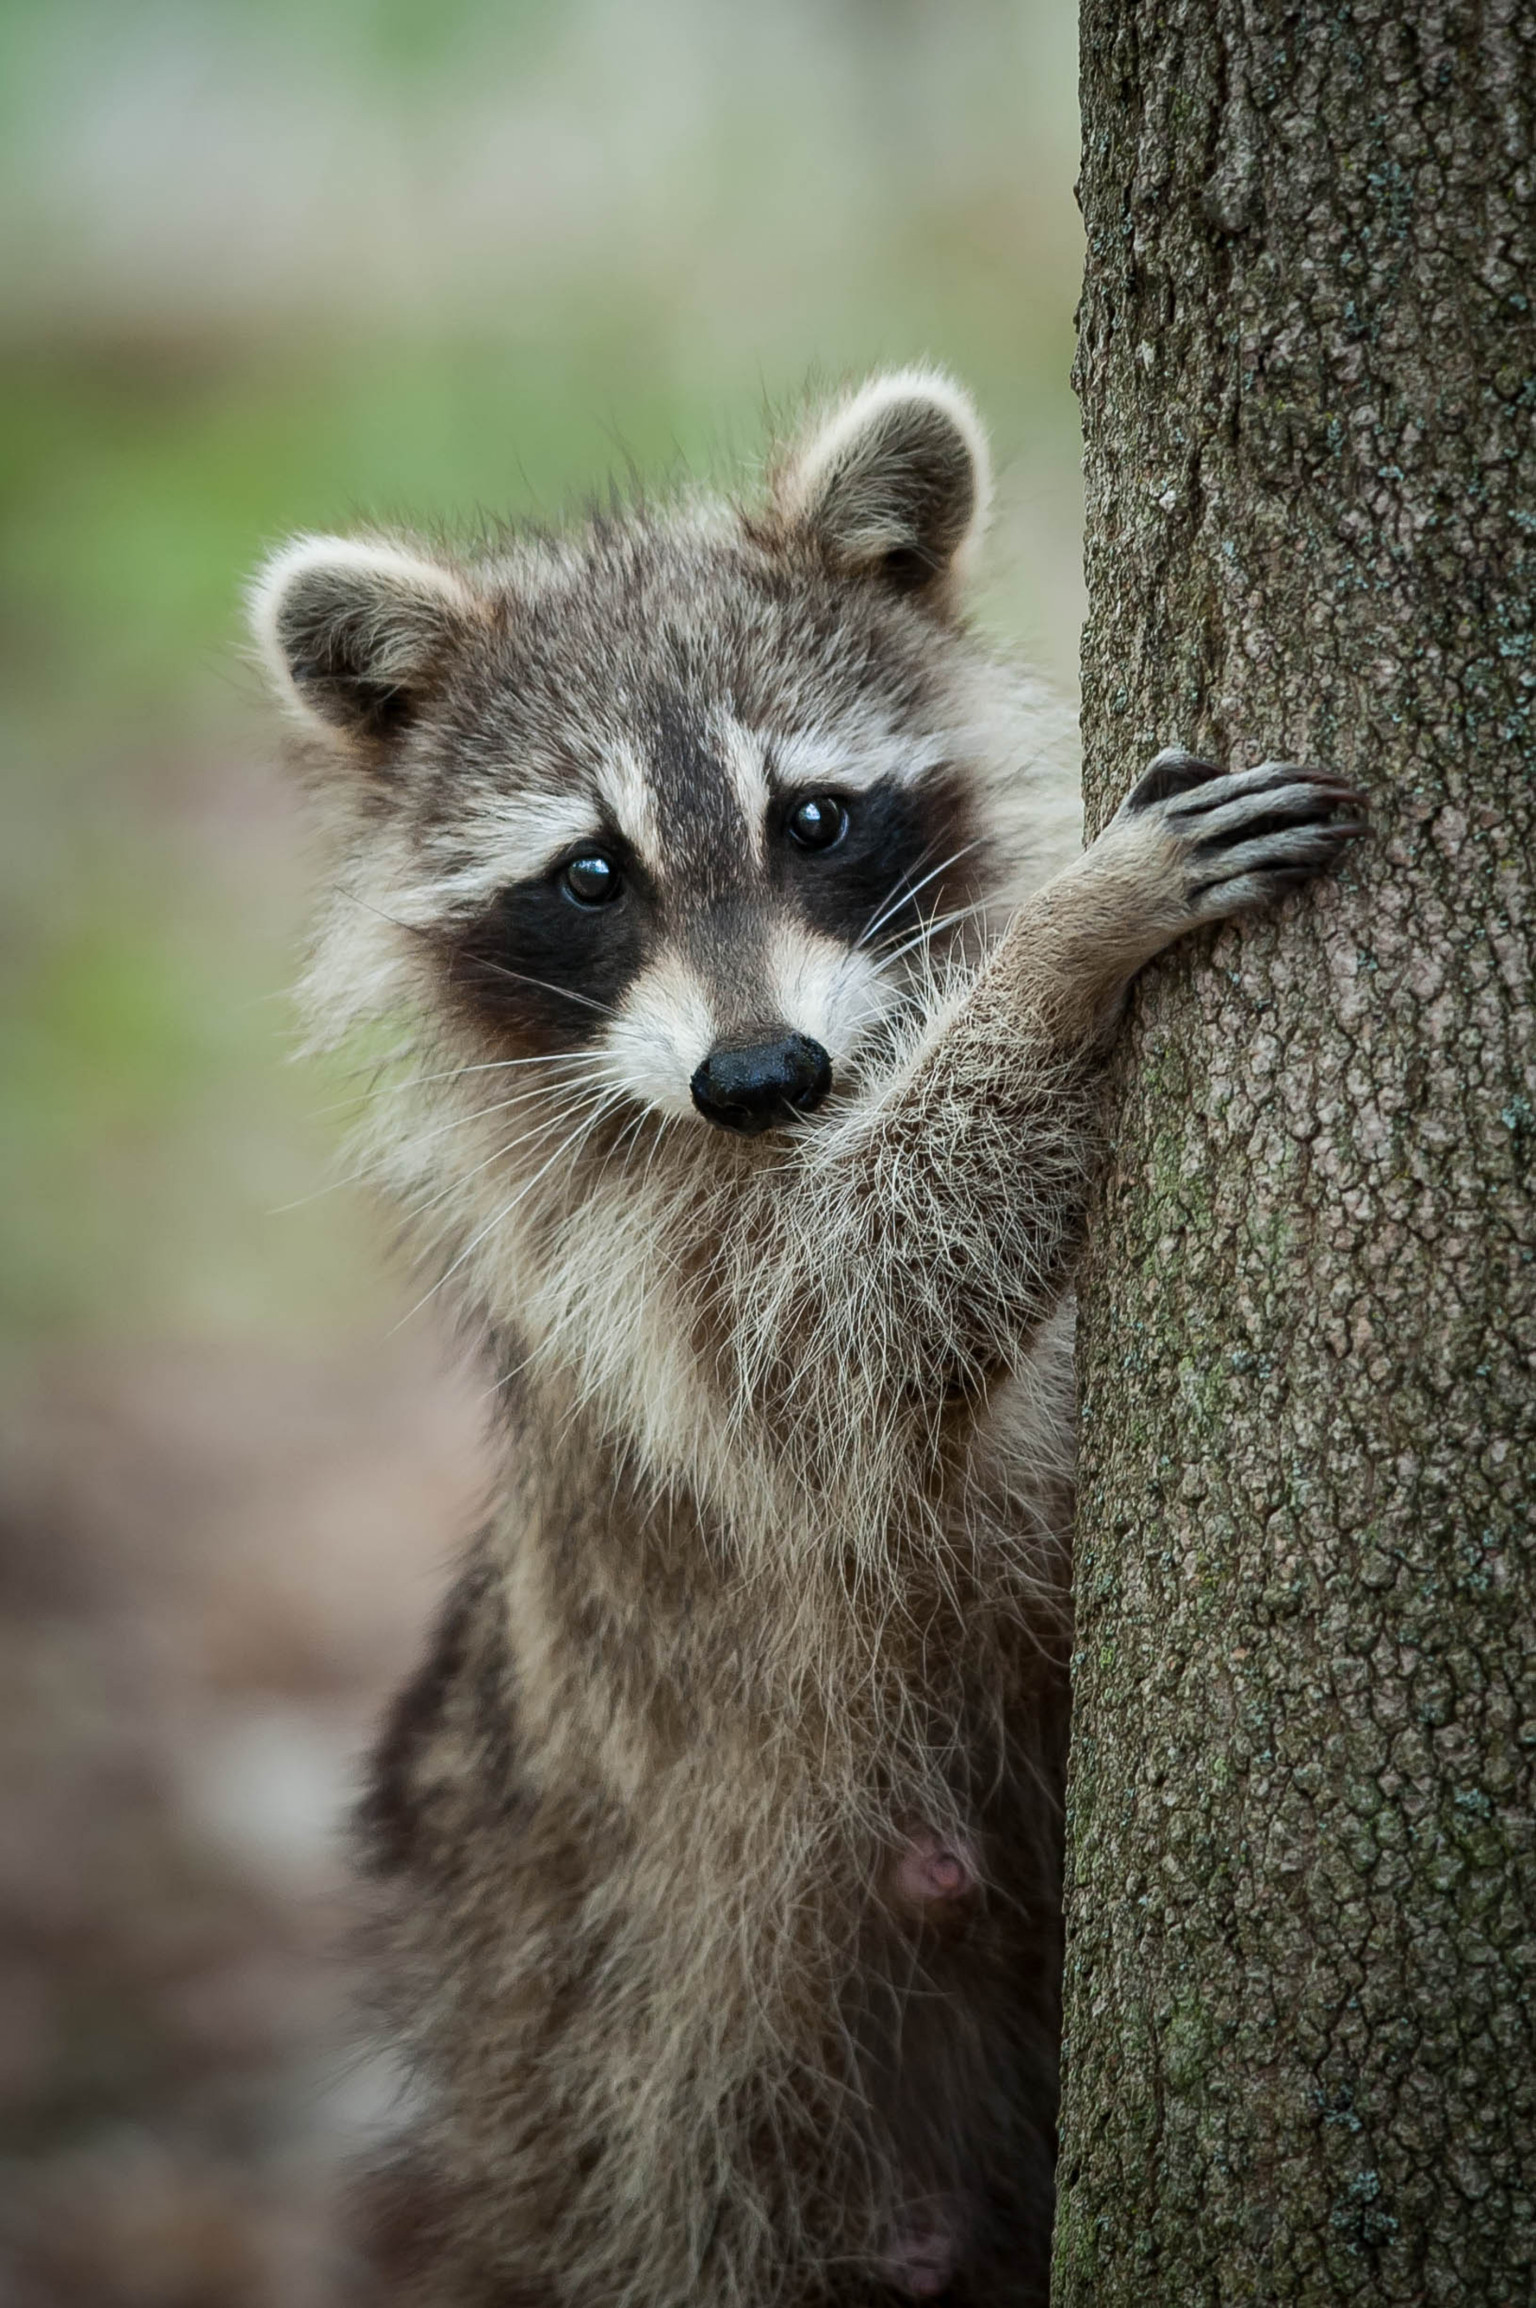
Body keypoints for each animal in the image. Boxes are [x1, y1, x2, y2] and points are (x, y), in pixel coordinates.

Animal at [251, 369, 1365, 2298]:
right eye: (592, 874)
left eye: (817, 822)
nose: (760, 1074)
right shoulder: (614, 1270)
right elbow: (842, 1318)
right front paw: (1068, 951)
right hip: (632, 2091)